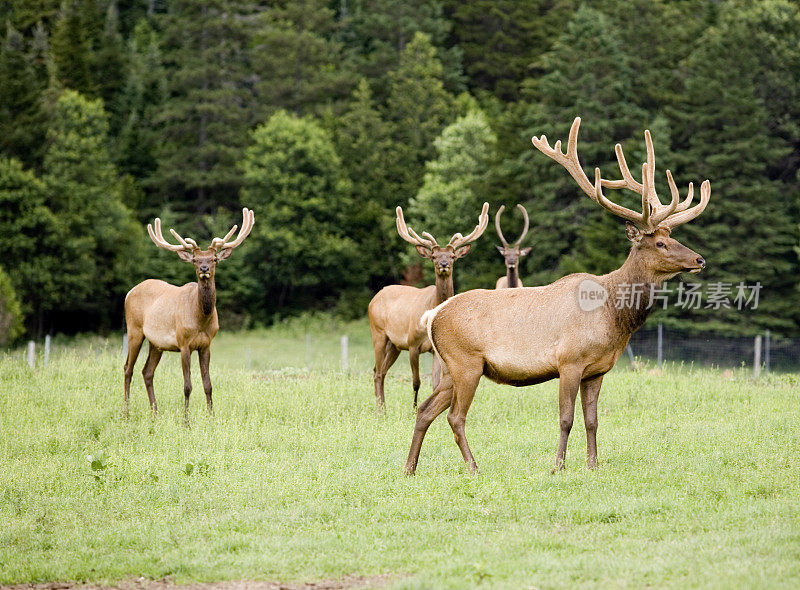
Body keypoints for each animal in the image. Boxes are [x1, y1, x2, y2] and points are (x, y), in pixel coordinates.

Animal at [123, 210, 255, 424]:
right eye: (195, 259)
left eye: (214, 259)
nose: (204, 269)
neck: (200, 319)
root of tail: (129, 292)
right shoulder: (183, 343)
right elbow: (187, 386)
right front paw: (186, 421)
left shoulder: (206, 344)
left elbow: (208, 384)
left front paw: (211, 417)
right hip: (134, 329)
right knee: (128, 368)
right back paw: (126, 413)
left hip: (156, 343)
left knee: (147, 372)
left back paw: (155, 413)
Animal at [368, 206, 488, 414]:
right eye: (433, 256)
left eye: (452, 256)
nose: (444, 264)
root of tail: (375, 298)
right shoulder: (412, 343)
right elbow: (416, 382)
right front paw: (414, 409)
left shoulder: (434, 350)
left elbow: (435, 383)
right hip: (379, 333)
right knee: (377, 372)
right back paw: (380, 410)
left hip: (395, 345)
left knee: (380, 370)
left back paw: (383, 407)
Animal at [406, 119, 712, 476]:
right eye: (660, 243)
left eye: (672, 236)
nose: (699, 260)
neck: (614, 316)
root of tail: (433, 317)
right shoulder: (569, 361)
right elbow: (566, 418)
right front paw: (558, 467)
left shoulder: (597, 369)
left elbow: (592, 420)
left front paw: (593, 466)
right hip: (465, 362)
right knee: (455, 416)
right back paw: (474, 468)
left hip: (451, 369)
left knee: (425, 410)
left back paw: (409, 469)